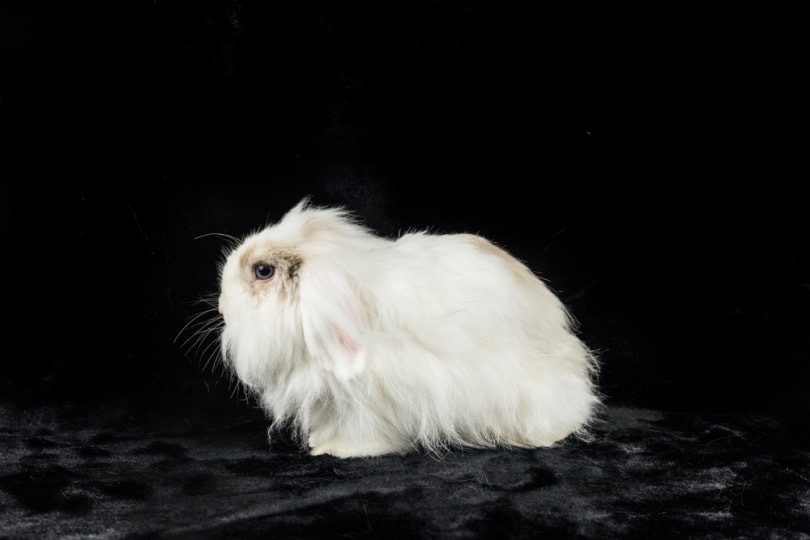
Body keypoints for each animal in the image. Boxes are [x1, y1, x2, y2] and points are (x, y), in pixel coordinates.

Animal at [216, 198, 600, 458]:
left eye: (262, 271)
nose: (220, 303)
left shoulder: (368, 404)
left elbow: (363, 431)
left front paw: (335, 449)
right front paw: (318, 440)